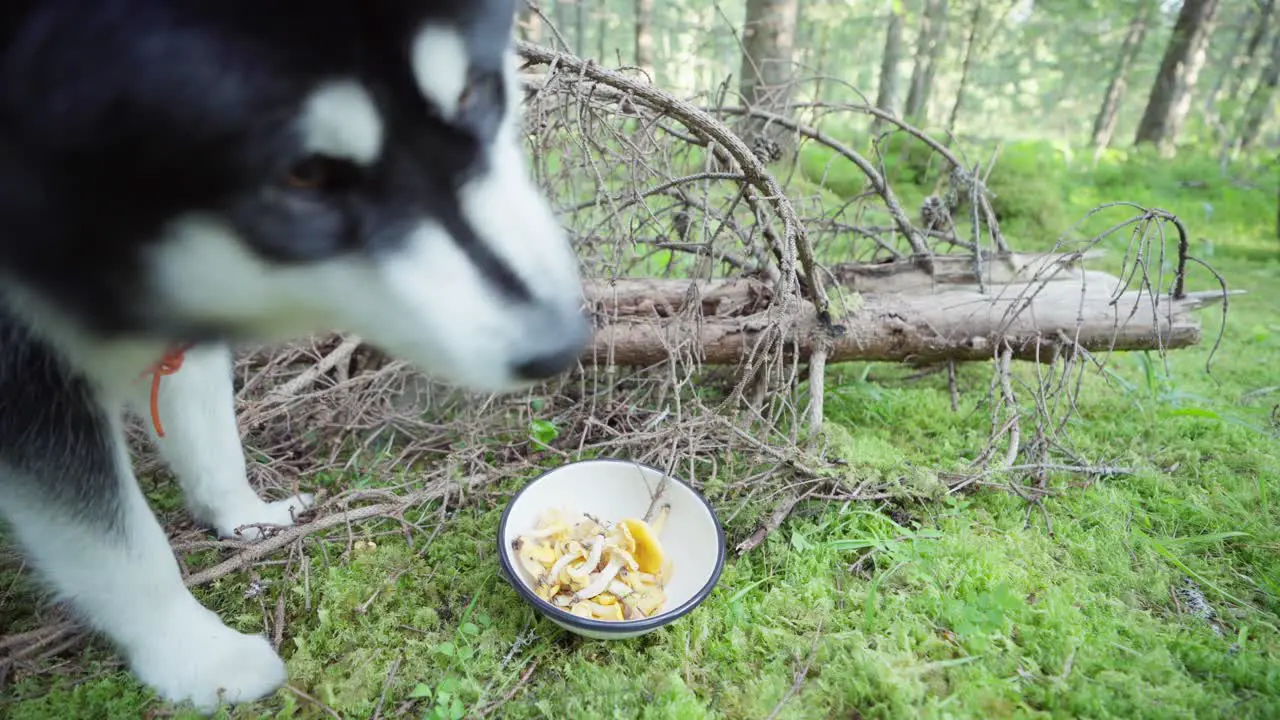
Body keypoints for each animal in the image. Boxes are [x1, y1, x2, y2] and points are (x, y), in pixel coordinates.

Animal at [0, 0, 588, 707]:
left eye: (473, 92)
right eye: (302, 174)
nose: (562, 343)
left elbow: (209, 433)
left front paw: (245, 520)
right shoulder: (25, 375)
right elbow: (117, 545)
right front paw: (197, 654)